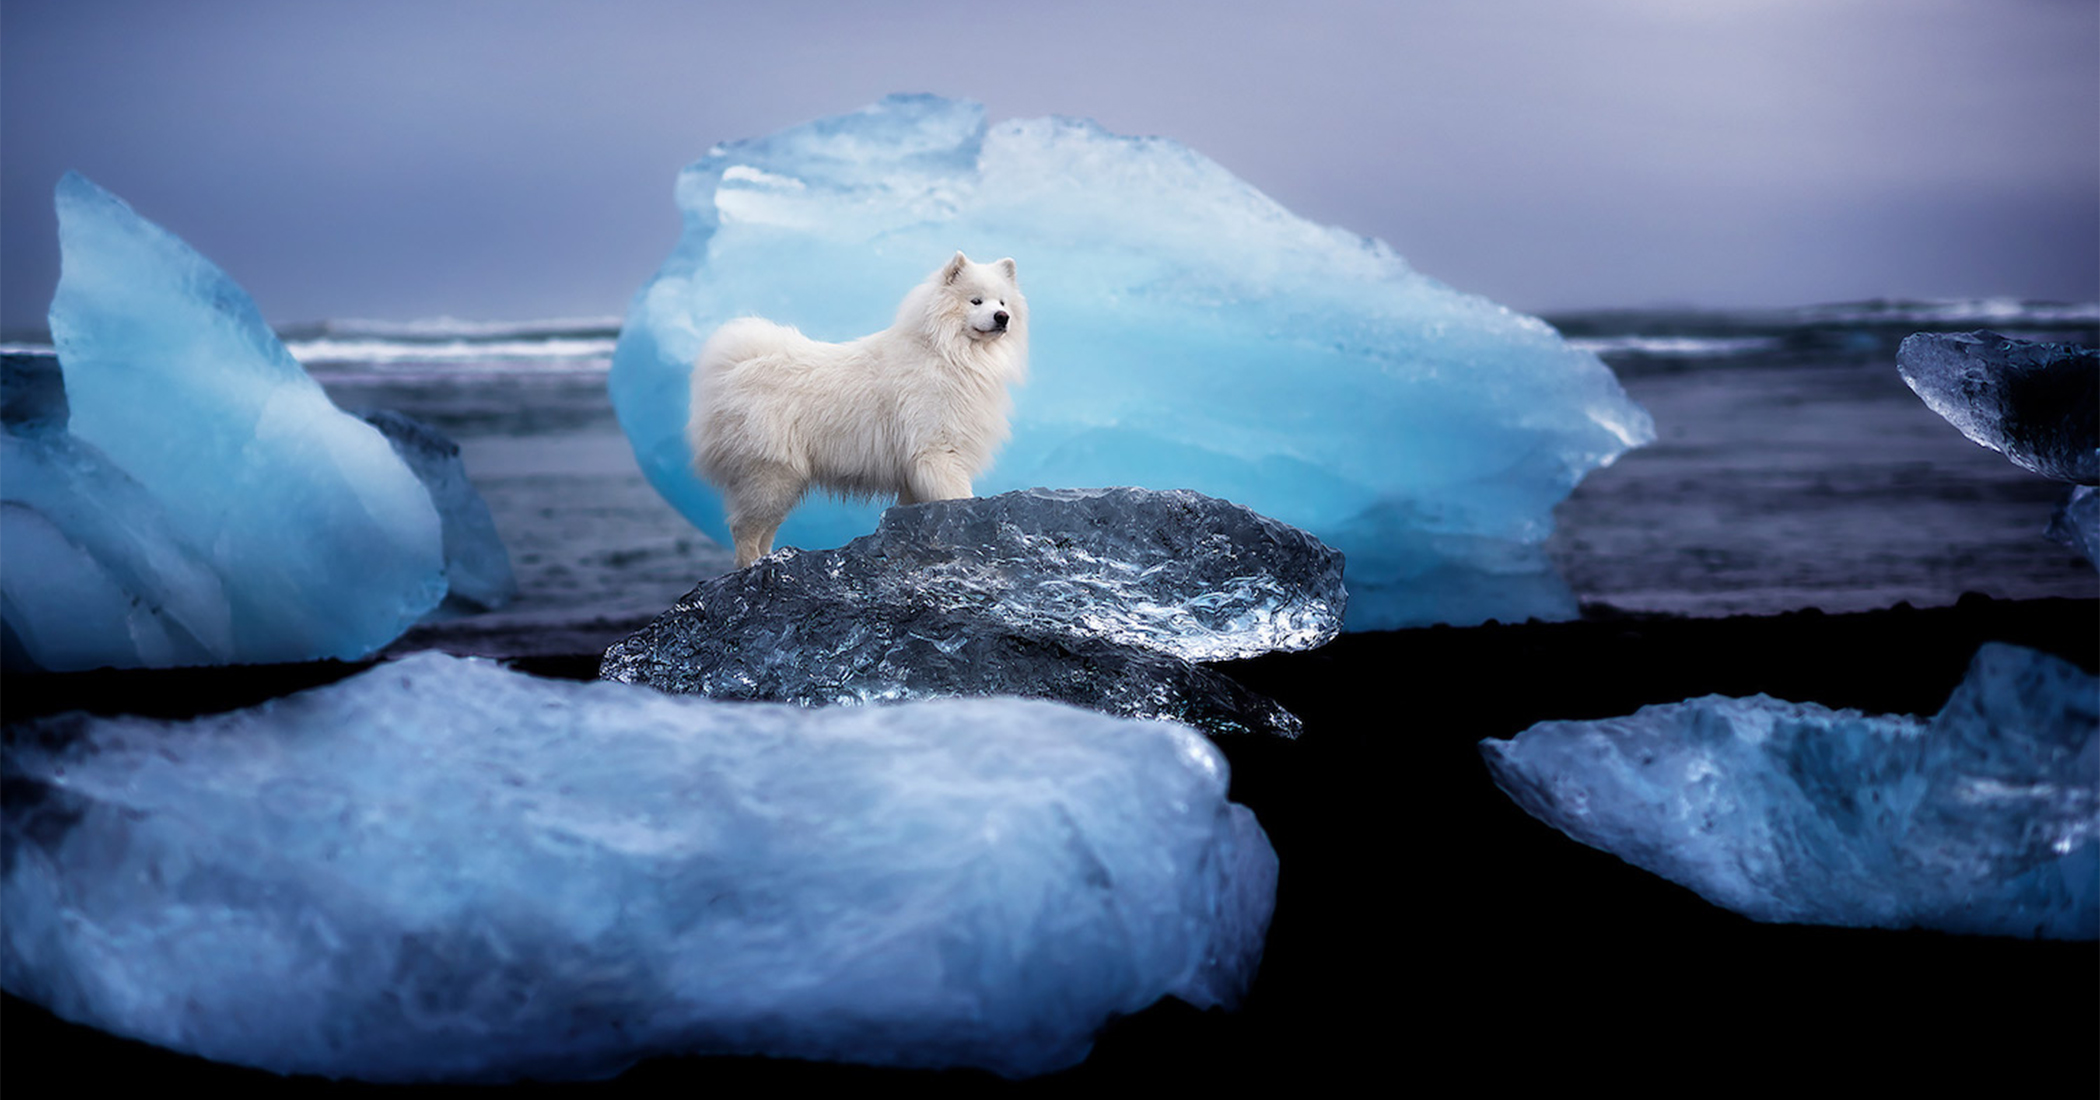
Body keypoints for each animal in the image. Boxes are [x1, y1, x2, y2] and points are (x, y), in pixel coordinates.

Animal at [692, 250, 1029, 566]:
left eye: (1003, 301)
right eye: (976, 301)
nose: (1002, 316)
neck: (947, 354)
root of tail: (734, 366)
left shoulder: (914, 469)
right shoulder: (938, 452)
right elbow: (959, 496)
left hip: (781, 483)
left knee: (764, 529)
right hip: (770, 474)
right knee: (744, 528)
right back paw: (751, 566)